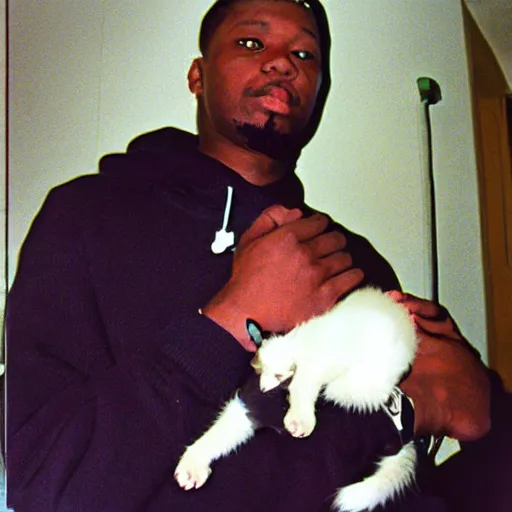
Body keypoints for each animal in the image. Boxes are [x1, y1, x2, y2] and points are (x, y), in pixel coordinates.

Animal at [176, 288, 420, 512]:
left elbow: (305, 379)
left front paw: (300, 418)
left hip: (362, 383)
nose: (263, 388)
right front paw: (193, 463)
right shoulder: (249, 404)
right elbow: (223, 431)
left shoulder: (320, 364)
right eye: (258, 369)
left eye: (277, 375)